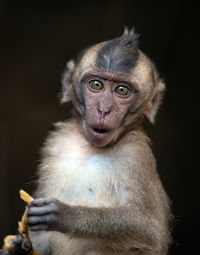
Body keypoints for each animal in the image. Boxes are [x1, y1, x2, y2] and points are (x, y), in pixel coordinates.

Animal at [0, 27, 172, 255]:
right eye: (96, 85)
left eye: (122, 90)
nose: (104, 109)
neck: (90, 149)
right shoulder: (56, 143)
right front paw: (20, 247)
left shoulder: (136, 155)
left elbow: (150, 230)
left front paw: (67, 216)